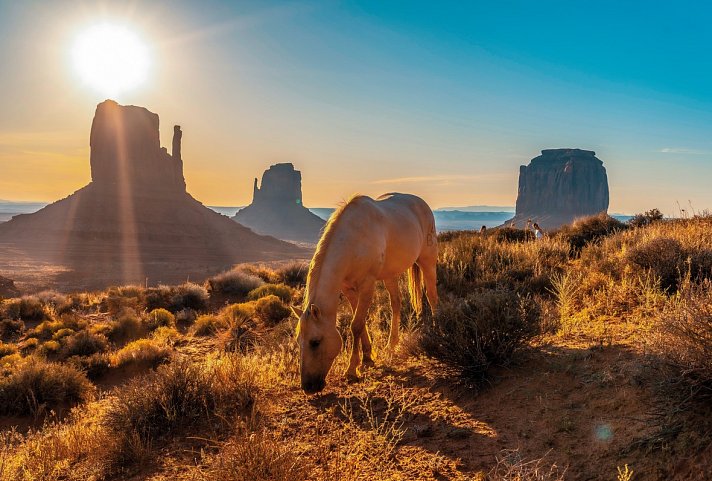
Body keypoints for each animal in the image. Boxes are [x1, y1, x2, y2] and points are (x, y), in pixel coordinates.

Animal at [290, 192, 436, 394]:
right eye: (298, 341)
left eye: (315, 342)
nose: (308, 387)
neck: (353, 240)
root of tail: (421, 203)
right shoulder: (348, 289)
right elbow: (359, 322)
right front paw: (367, 358)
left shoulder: (367, 285)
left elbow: (356, 325)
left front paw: (352, 369)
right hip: (390, 274)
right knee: (396, 303)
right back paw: (391, 345)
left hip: (427, 260)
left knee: (432, 296)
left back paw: (439, 329)